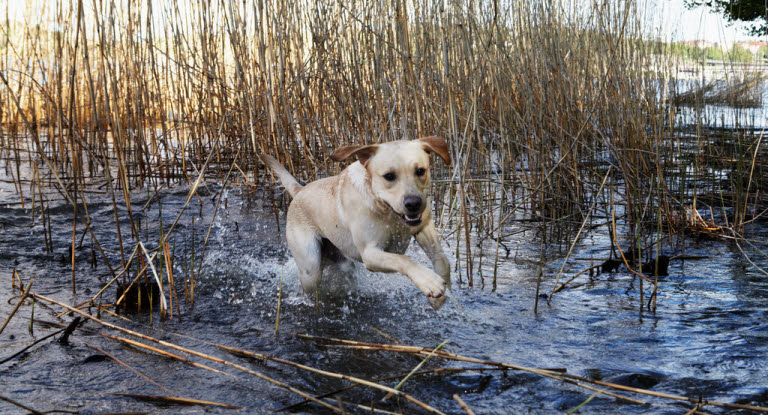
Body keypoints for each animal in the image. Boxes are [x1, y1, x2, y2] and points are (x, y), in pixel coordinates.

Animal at [260, 139, 450, 308]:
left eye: (420, 171)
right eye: (389, 176)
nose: (413, 203)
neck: (388, 212)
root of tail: (300, 190)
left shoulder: (423, 228)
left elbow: (442, 259)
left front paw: (439, 295)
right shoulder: (369, 254)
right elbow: (403, 259)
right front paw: (429, 281)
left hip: (342, 261)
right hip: (310, 268)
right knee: (309, 284)